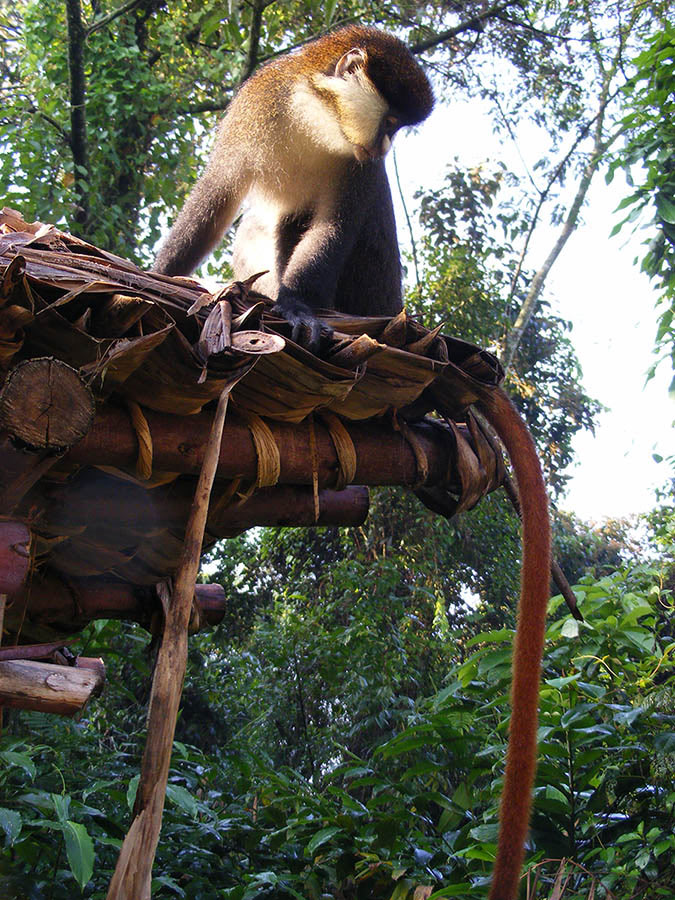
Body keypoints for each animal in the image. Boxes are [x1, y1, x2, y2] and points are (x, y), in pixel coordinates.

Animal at [154, 24, 434, 348]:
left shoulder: (362, 165)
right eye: (391, 122)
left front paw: (295, 306)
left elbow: (334, 225)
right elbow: (218, 192)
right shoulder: (254, 105)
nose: (387, 146)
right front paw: (161, 273)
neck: (315, 116)